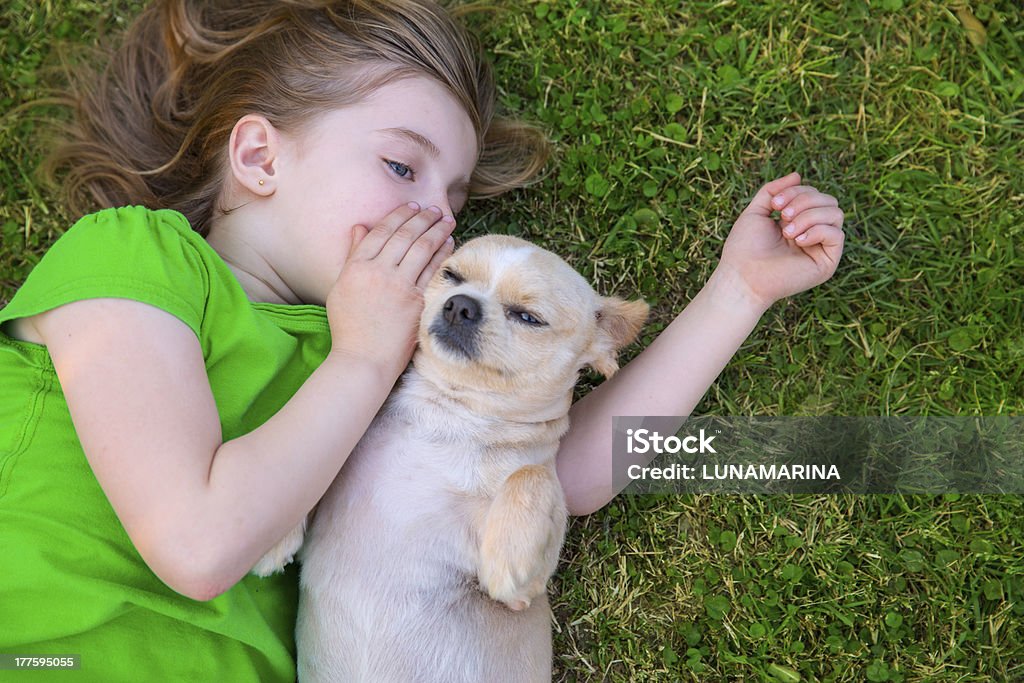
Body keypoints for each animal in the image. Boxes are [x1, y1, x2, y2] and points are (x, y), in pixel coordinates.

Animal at [256, 236, 643, 683]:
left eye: (528, 317)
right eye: (451, 276)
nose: (460, 304)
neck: (448, 414)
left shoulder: (524, 592)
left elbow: (531, 473)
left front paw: (508, 557)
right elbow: (314, 466)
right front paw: (272, 532)